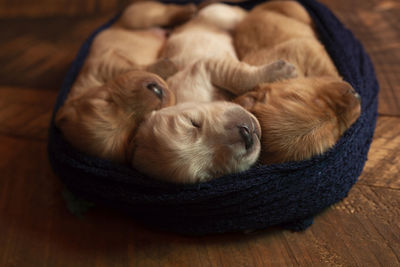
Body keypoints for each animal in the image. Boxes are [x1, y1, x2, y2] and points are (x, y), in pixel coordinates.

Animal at [233, 1, 360, 164]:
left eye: (317, 100)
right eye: (334, 131)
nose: (355, 94)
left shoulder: (306, 48)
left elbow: (324, 68)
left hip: (294, 8)